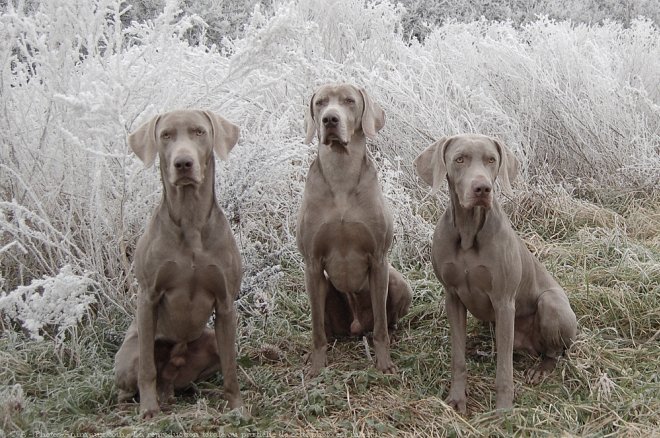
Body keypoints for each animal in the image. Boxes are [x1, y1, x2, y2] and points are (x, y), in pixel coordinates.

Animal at [114, 109, 244, 418]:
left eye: (199, 132)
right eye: (166, 135)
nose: (183, 163)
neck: (190, 219)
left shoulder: (225, 302)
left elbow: (231, 367)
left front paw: (237, 407)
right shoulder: (148, 297)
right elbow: (147, 369)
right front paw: (149, 410)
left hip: (208, 340)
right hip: (130, 353)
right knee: (137, 379)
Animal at [296, 84, 410, 376]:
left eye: (349, 101)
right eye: (320, 103)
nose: (329, 119)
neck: (341, 174)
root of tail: (357, 326)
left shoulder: (379, 259)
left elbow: (381, 327)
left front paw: (384, 363)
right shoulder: (312, 263)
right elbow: (316, 329)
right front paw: (316, 366)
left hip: (398, 281)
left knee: (386, 321)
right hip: (323, 287)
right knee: (326, 328)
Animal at [416, 133, 576, 410]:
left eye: (491, 160)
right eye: (459, 159)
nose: (482, 189)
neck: (469, 232)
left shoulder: (503, 301)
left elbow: (504, 369)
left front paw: (503, 409)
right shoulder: (452, 297)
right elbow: (458, 357)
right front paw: (456, 399)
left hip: (551, 303)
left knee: (554, 351)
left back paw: (540, 369)